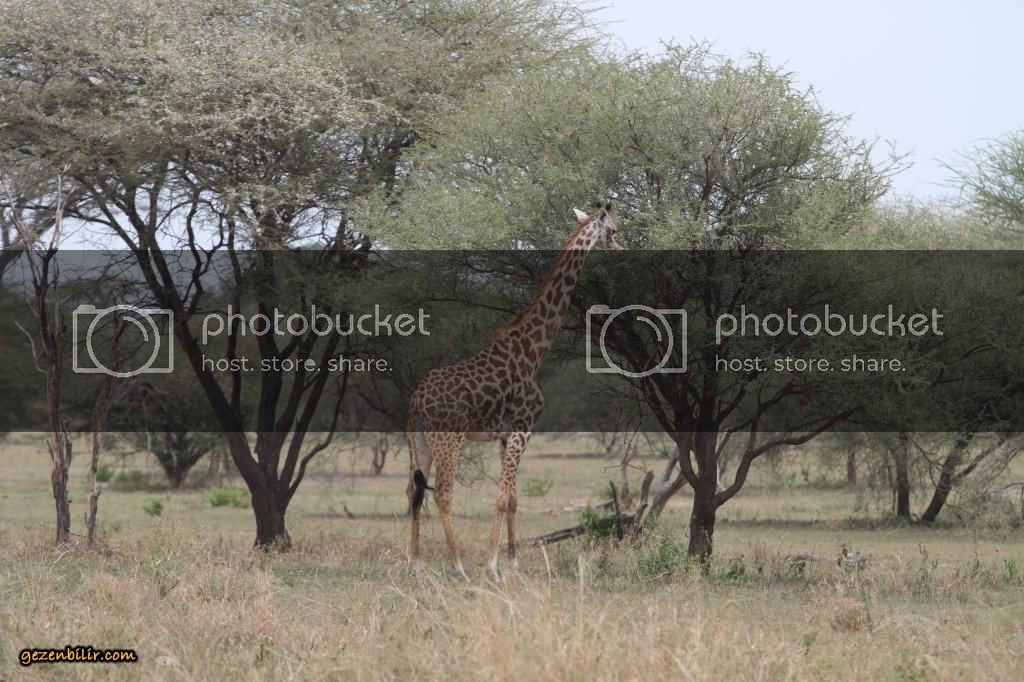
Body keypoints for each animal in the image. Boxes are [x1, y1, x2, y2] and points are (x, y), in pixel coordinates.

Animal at [406, 204, 622, 579]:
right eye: (612, 230)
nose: (622, 249)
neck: (534, 349)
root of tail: (418, 399)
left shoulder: (506, 434)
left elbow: (514, 497)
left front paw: (513, 564)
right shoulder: (523, 426)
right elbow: (503, 496)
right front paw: (492, 566)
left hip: (418, 438)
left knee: (414, 491)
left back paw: (417, 565)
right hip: (449, 439)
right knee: (442, 493)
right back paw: (459, 566)